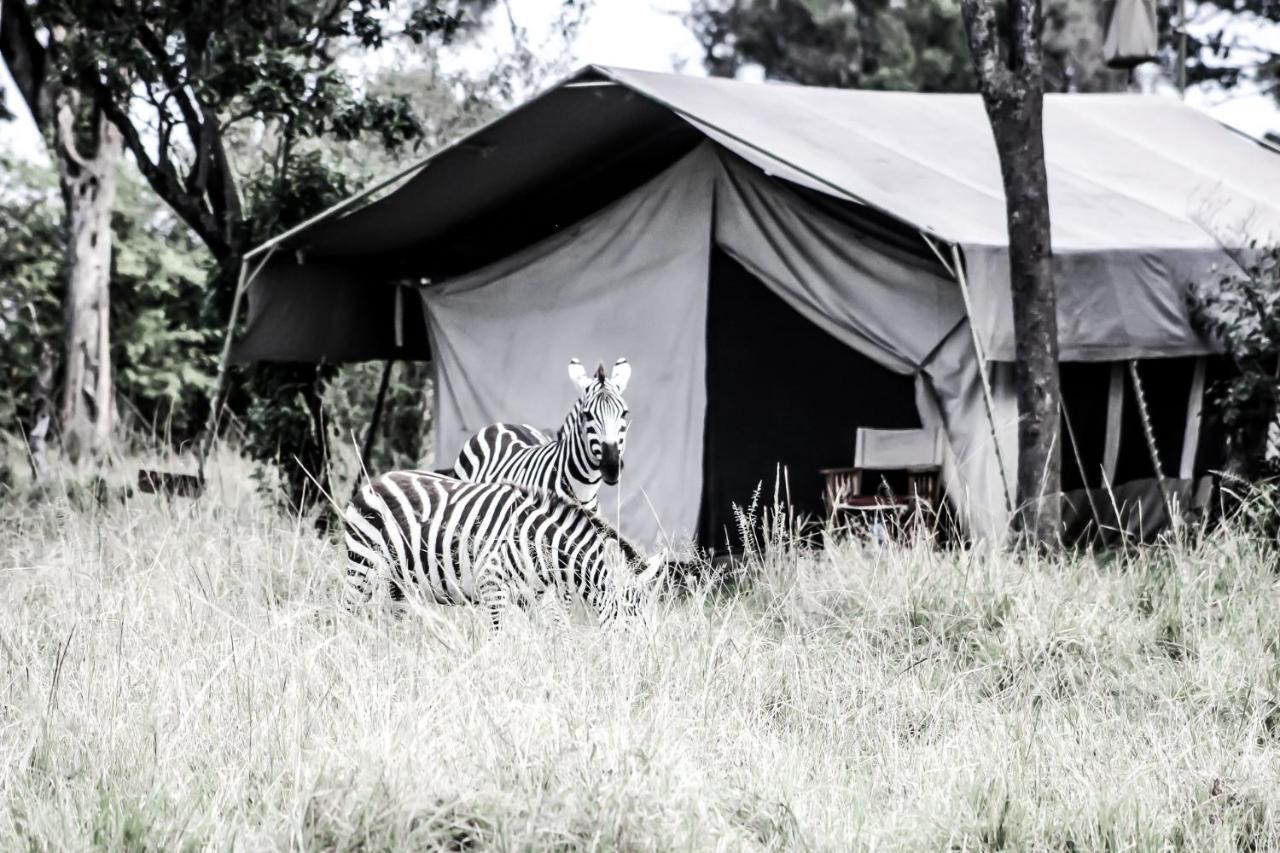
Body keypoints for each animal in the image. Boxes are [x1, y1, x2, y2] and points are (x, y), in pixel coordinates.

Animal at [343, 466, 660, 625]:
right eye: (632, 617)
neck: (537, 542)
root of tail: (375, 480)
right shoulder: (493, 587)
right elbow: (495, 640)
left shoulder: (537, 596)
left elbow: (556, 634)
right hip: (362, 563)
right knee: (347, 612)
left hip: (399, 580)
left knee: (394, 619)